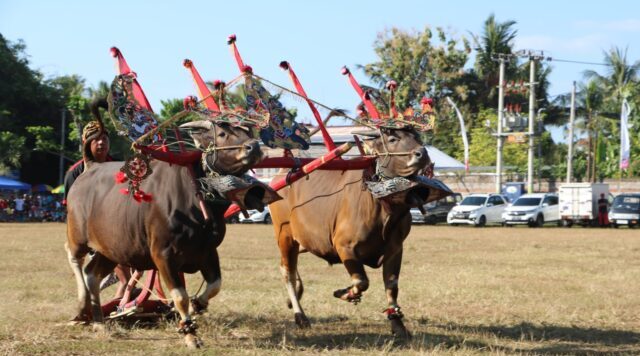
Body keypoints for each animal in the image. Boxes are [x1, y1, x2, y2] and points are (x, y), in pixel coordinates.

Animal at [66, 117, 272, 348]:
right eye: (222, 134)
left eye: (247, 132)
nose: (254, 147)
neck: (195, 198)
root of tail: (90, 166)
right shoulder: (163, 255)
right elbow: (180, 296)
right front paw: (190, 334)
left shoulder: (208, 252)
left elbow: (215, 285)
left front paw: (198, 304)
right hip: (78, 236)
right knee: (74, 258)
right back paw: (82, 305)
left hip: (111, 249)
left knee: (92, 274)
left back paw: (98, 321)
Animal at [270, 127, 430, 336]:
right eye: (393, 139)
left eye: (417, 137)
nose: (422, 153)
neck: (381, 207)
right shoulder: (344, 246)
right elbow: (362, 281)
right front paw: (345, 294)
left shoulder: (395, 249)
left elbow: (392, 286)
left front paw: (398, 325)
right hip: (285, 236)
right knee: (287, 271)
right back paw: (300, 315)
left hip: (303, 241)